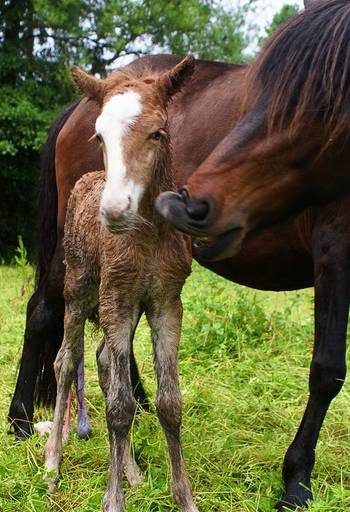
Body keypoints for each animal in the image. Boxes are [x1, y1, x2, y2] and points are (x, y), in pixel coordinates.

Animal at [43, 57, 197, 512]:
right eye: (98, 134)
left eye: (157, 132)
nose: (114, 211)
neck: (147, 237)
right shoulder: (115, 298)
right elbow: (118, 407)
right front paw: (113, 500)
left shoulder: (166, 301)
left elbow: (167, 402)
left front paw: (183, 496)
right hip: (79, 288)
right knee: (66, 360)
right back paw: (53, 464)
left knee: (104, 361)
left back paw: (131, 470)